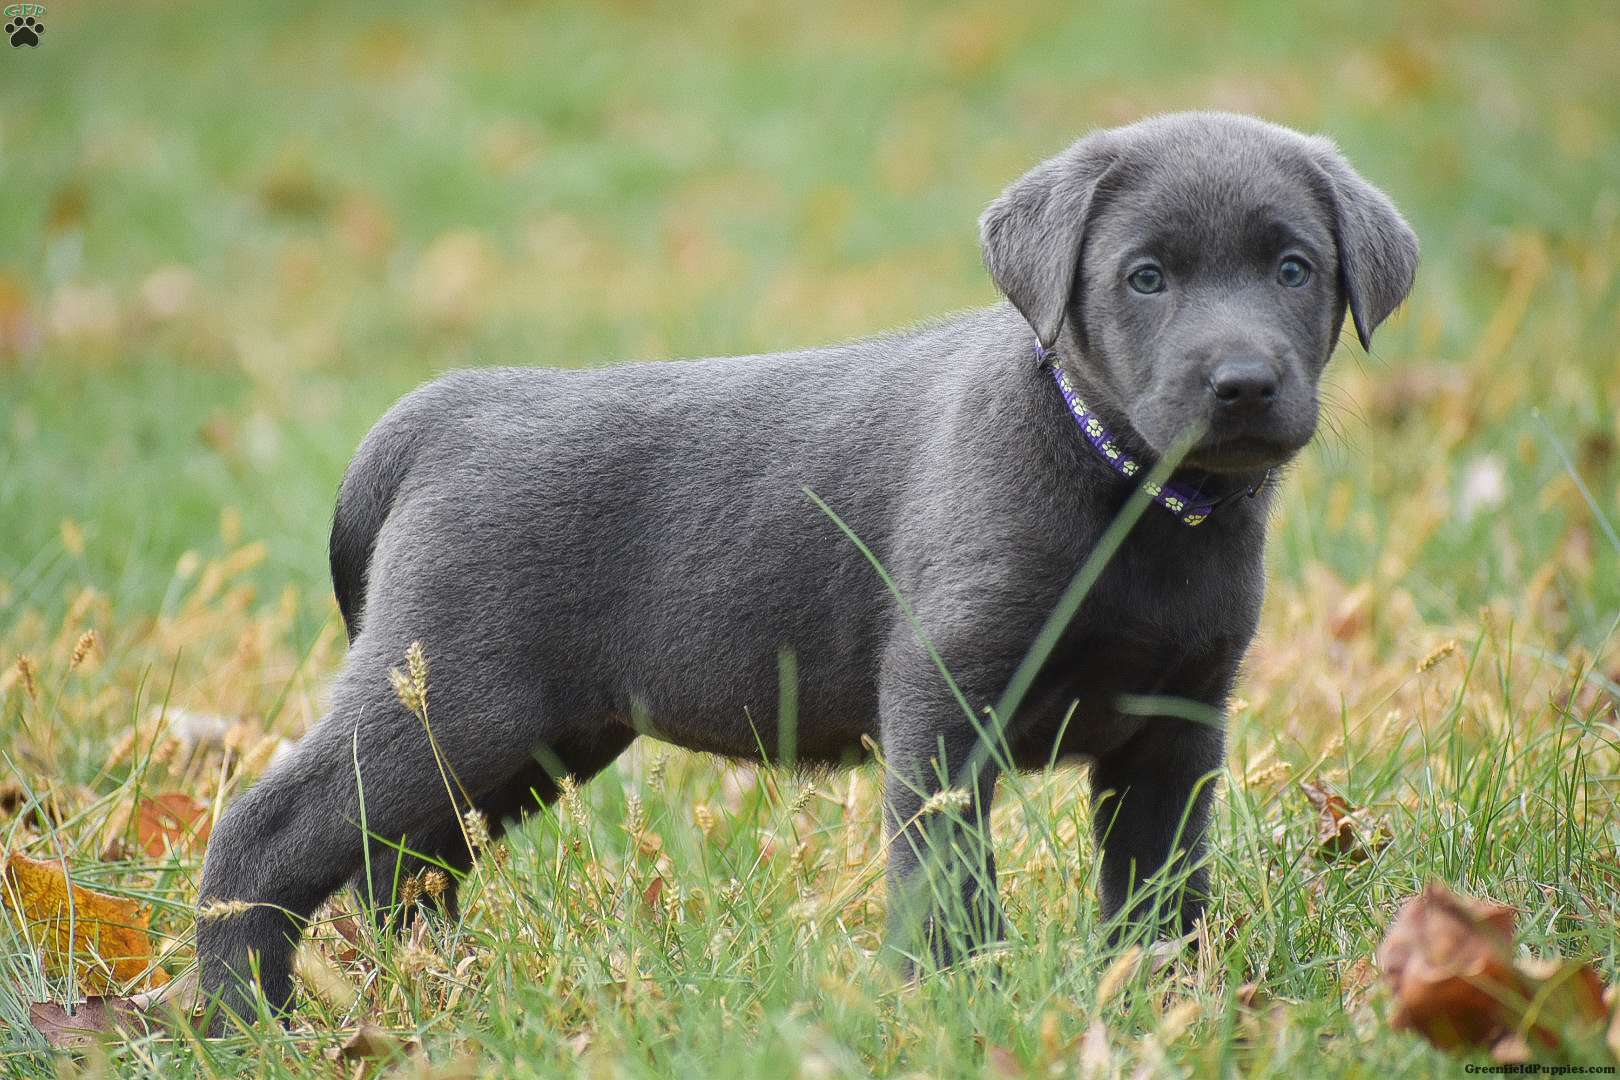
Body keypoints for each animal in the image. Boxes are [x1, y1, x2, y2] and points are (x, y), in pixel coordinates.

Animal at [197, 111, 1417, 1024]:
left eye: (1294, 269)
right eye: (1147, 277)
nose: (1244, 384)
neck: (1127, 494)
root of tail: (438, 415)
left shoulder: (1175, 729)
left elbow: (1158, 895)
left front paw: (1159, 1006)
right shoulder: (945, 700)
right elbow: (946, 879)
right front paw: (953, 1005)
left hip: (532, 738)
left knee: (406, 864)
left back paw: (439, 994)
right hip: (452, 696)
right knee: (269, 836)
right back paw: (241, 1020)